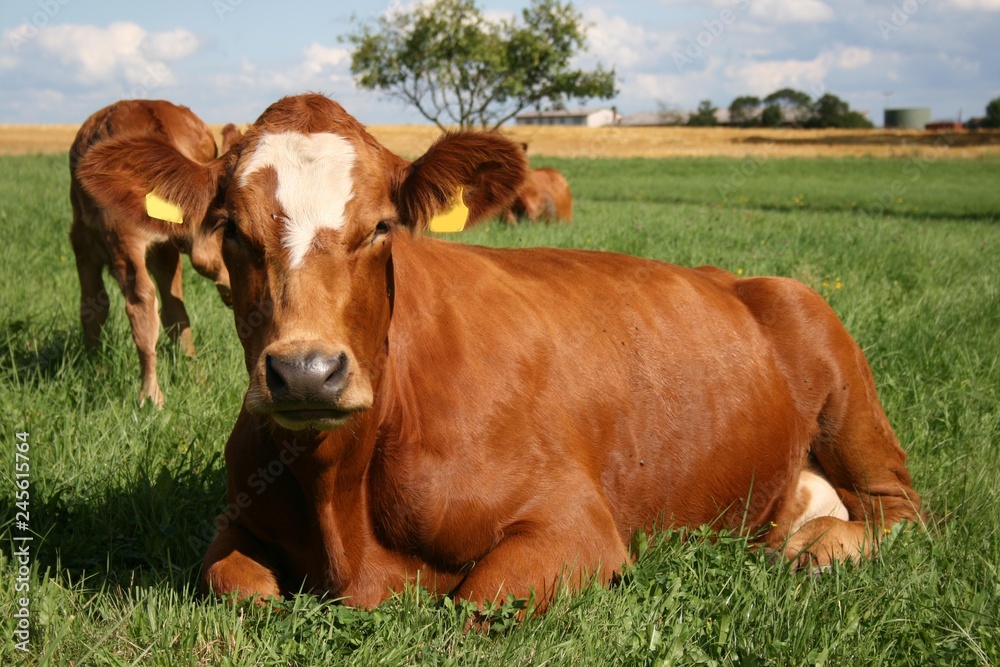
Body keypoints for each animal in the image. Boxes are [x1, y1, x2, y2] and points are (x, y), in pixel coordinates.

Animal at [71, 99, 240, 408]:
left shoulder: (82, 243)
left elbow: (92, 307)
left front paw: (94, 363)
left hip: (124, 237)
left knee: (142, 302)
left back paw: (150, 394)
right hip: (164, 245)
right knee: (178, 301)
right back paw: (194, 369)